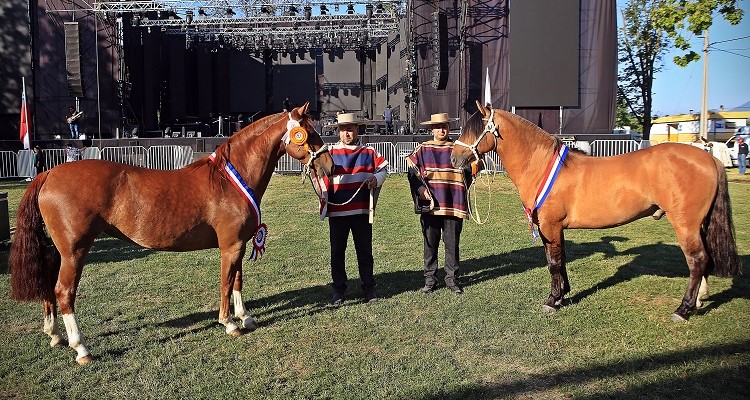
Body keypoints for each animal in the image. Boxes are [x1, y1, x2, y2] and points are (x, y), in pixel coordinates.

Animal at [8, 104, 334, 366]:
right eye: (307, 132)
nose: (329, 166)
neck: (229, 180)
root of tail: (48, 173)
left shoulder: (240, 243)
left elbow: (238, 281)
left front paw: (246, 317)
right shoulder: (230, 246)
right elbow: (226, 283)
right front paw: (229, 323)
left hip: (58, 251)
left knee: (49, 285)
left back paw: (55, 335)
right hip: (74, 251)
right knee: (64, 291)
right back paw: (81, 349)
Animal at [452, 102, 748, 322]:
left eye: (474, 129)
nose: (455, 158)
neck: (542, 166)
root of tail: (709, 158)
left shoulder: (549, 226)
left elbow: (553, 263)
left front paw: (552, 301)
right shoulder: (555, 229)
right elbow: (560, 260)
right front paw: (564, 294)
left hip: (685, 224)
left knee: (697, 260)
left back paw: (683, 309)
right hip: (699, 224)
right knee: (704, 261)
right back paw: (698, 301)